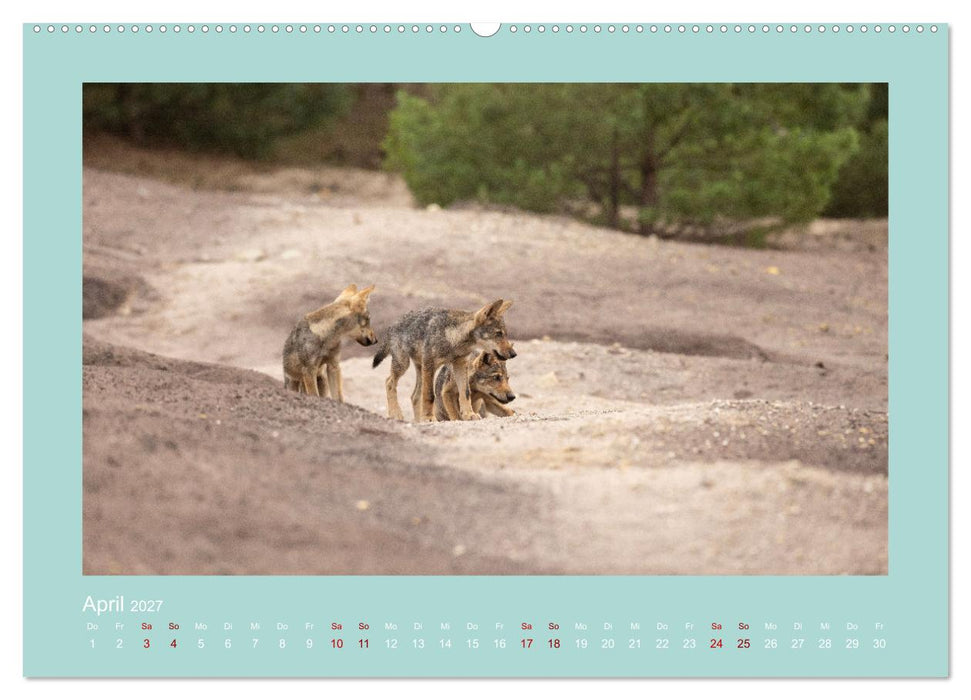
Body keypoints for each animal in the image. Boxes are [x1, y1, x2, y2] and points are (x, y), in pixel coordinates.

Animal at [372, 299, 516, 422]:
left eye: (505, 334)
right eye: (498, 334)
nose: (514, 354)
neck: (452, 338)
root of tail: (393, 324)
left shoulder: (460, 365)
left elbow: (465, 393)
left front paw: (469, 414)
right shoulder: (430, 364)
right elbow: (430, 395)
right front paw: (429, 418)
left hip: (420, 369)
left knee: (415, 396)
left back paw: (419, 421)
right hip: (403, 364)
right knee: (389, 382)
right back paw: (396, 413)